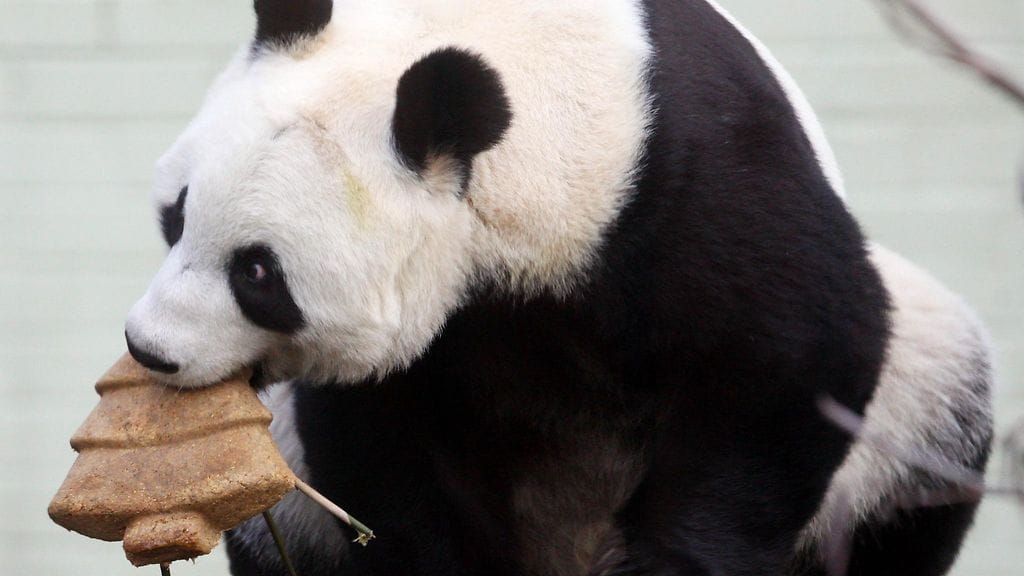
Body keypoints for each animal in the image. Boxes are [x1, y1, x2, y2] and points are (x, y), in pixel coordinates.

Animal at [122, 1, 993, 575]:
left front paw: (670, 561)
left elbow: (792, 355)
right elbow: (382, 444)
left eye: (257, 274)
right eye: (175, 215)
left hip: (910, 408)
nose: (150, 348)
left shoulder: (700, 178)